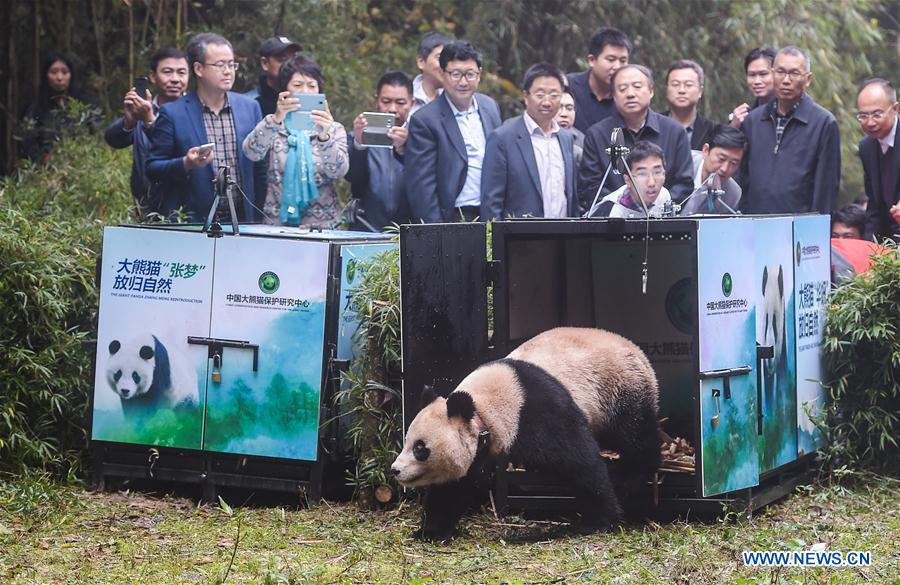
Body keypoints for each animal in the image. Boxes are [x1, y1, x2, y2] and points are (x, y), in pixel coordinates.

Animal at [391, 327, 660, 541]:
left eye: (420, 448)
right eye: (407, 441)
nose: (395, 470)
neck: (482, 407)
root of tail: (636, 349)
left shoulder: (536, 411)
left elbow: (581, 462)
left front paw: (602, 520)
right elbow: (453, 485)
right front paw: (431, 531)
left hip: (619, 390)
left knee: (635, 434)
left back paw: (632, 474)